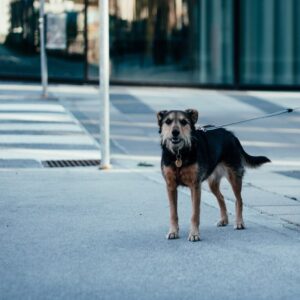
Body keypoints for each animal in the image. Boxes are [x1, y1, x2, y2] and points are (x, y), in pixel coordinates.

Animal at [158, 109, 270, 243]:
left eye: (184, 122)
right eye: (168, 121)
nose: (175, 132)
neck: (179, 154)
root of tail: (231, 135)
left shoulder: (195, 186)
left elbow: (195, 214)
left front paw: (194, 234)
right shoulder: (171, 186)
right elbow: (173, 213)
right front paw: (173, 232)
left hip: (234, 177)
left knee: (239, 200)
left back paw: (239, 222)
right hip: (213, 183)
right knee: (221, 197)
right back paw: (224, 220)